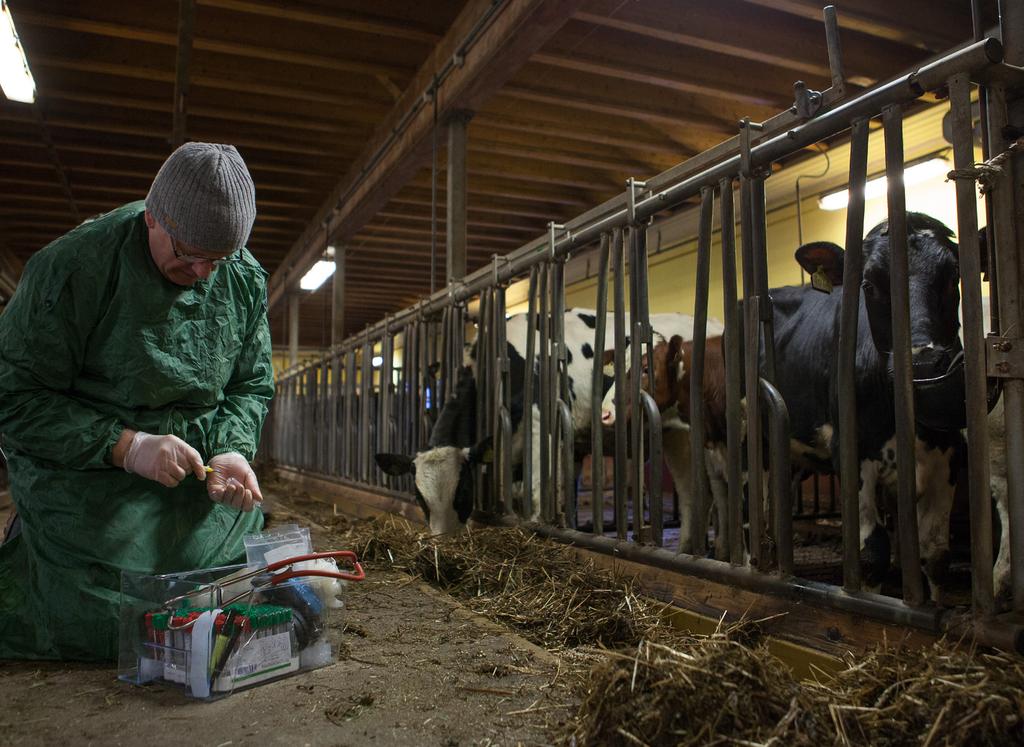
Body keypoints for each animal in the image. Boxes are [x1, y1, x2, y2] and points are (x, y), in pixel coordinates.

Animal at [774, 211, 966, 598]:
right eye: (869, 285)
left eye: (953, 276)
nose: (923, 361)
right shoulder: (852, 451)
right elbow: (872, 552)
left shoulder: (950, 453)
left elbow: (936, 553)